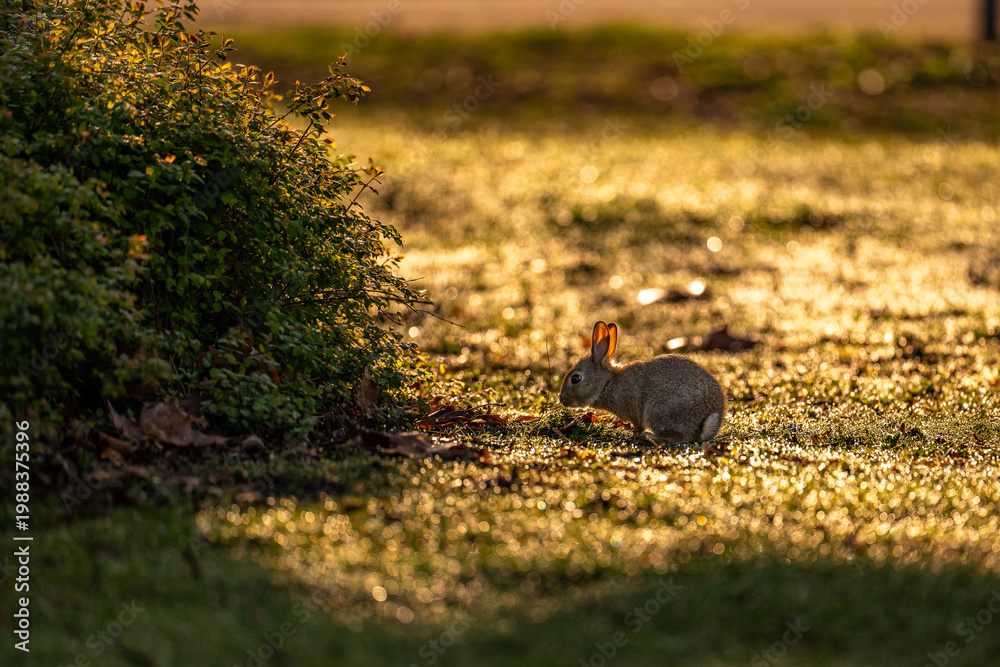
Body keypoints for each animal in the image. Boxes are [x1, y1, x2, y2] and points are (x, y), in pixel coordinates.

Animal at [558, 321, 725, 444]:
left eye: (576, 378)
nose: (561, 399)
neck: (607, 383)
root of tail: (705, 422)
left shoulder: (634, 411)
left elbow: (637, 426)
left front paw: (633, 433)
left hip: (657, 411)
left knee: (678, 437)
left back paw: (648, 436)